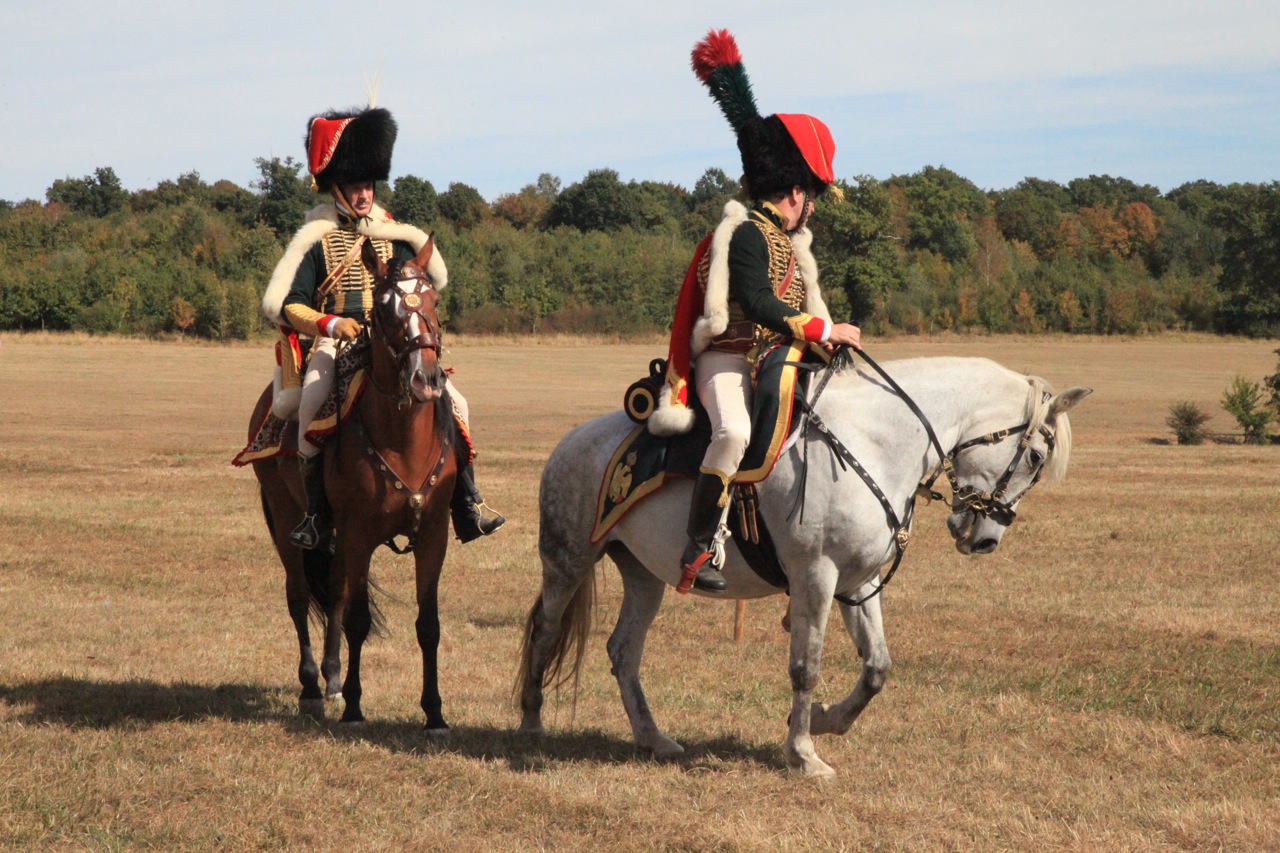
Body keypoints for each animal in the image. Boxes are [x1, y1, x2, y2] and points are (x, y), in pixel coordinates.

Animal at [244, 235, 455, 727]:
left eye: (433, 301)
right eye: (384, 307)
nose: (426, 379)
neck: (402, 441)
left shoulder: (433, 536)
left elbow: (428, 624)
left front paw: (434, 713)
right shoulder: (359, 534)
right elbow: (358, 619)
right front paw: (357, 709)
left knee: (335, 595)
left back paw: (333, 679)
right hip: (287, 514)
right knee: (300, 594)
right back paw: (310, 687)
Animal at [512, 350, 1090, 768]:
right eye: (1034, 456)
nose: (985, 538)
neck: (875, 441)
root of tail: (570, 442)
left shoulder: (858, 581)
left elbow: (877, 667)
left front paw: (830, 720)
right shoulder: (817, 576)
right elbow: (805, 666)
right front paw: (803, 753)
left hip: (644, 575)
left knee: (623, 650)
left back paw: (654, 739)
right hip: (568, 559)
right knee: (545, 630)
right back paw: (531, 724)